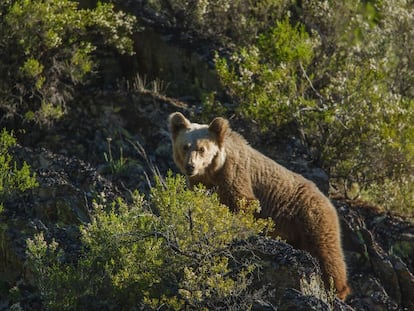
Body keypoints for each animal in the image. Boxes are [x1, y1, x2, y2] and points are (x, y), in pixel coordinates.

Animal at [168, 112, 350, 300]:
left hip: (310, 217)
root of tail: (327, 199)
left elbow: (242, 203)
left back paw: (337, 290)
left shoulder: (235, 174)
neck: (213, 172)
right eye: (185, 146)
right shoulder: (201, 183)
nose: (190, 166)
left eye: (202, 148)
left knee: (326, 252)